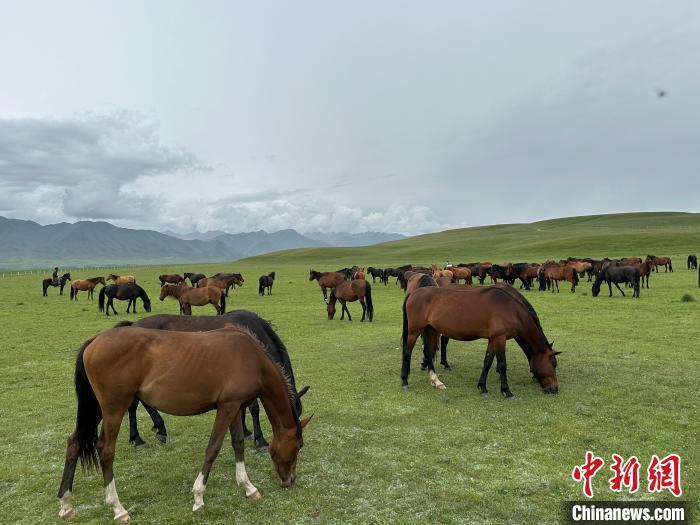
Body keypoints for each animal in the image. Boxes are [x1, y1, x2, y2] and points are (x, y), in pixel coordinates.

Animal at [56, 325, 311, 521]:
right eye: (298, 446)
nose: (290, 480)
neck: (252, 358)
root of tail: (95, 340)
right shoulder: (227, 408)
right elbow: (213, 448)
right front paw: (198, 497)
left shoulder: (236, 406)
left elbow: (238, 443)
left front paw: (248, 488)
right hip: (113, 409)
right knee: (106, 451)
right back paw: (118, 509)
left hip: (96, 409)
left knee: (74, 443)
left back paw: (66, 504)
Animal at [115, 310, 309, 451]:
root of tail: (133, 325)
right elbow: (253, 409)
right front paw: (260, 440)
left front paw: (246, 431)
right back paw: (143, 436)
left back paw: (147, 433)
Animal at [400, 286, 560, 396]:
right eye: (553, 364)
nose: (554, 389)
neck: (510, 309)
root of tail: (413, 293)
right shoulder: (500, 338)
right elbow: (502, 364)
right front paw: (506, 391)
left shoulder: (493, 339)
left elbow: (487, 362)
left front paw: (482, 387)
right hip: (414, 331)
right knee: (407, 352)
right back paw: (404, 381)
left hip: (431, 330)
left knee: (428, 353)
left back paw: (436, 381)